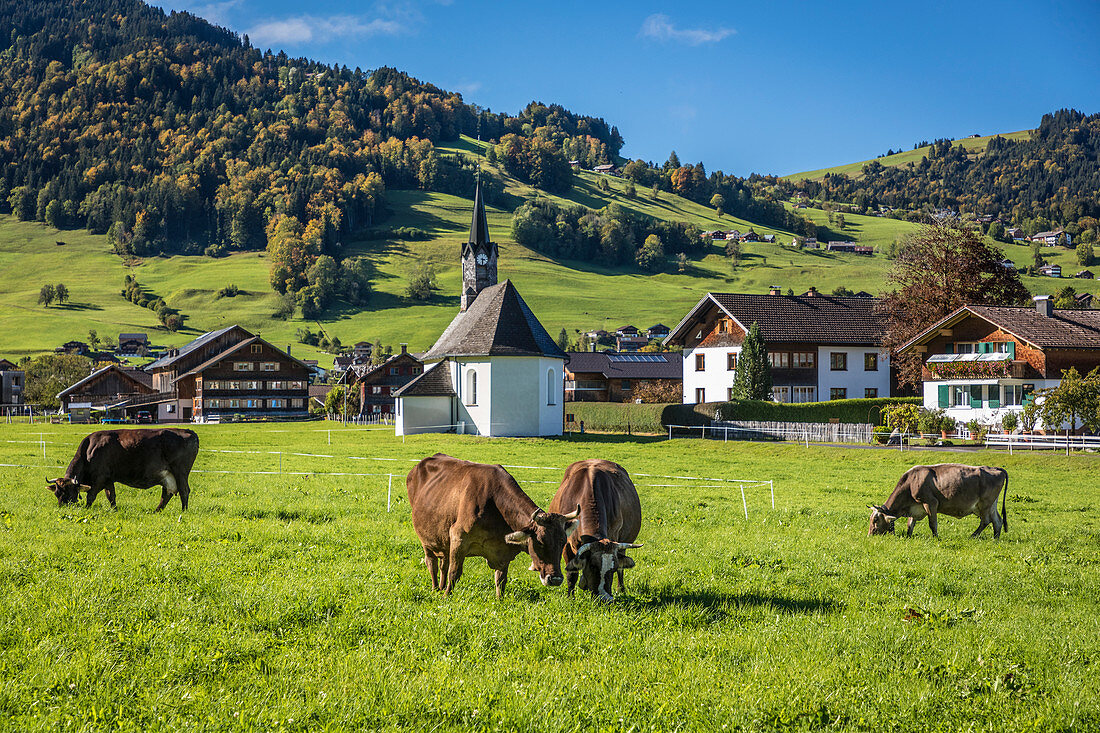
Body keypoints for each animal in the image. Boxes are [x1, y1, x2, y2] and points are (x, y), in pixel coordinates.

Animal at [47, 429, 200, 508]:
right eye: (57, 493)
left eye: (70, 494)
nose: (63, 508)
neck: (89, 451)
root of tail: (188, 431)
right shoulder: (108, 479)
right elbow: (111, 496)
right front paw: (114, 510)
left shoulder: (99, 478)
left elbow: (91, 496)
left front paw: (87, 508)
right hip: (167, 475)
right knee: (166, 493)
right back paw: (156, 511)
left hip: (180, 472)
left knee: (184, 491)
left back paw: (184, 511)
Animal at [407, 451, 580, 598]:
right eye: (541, 542)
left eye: (563, 542)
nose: (555, 579)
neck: (494, 503)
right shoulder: (458, 537)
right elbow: (454, 572)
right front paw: (446, 596)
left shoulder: (503, 552)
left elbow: (500, 579)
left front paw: (499, 600)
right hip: (426, 540)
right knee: (433, 563)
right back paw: (436, 589)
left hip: (442, 540)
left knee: (443, 563)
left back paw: (441, 587)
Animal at [866, 462, 1007, 537]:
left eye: (876, 520)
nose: (869, 535)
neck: (911, 483)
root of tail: (995, 468)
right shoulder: (915, 508)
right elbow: (910, 524)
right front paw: (908, 536)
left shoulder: (930, 503)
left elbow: (932, 523)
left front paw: (936, 537)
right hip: (991, 505)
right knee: (997, 521)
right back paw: (995, 539)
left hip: (985, 505)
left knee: (986, 521)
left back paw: (972, 536)